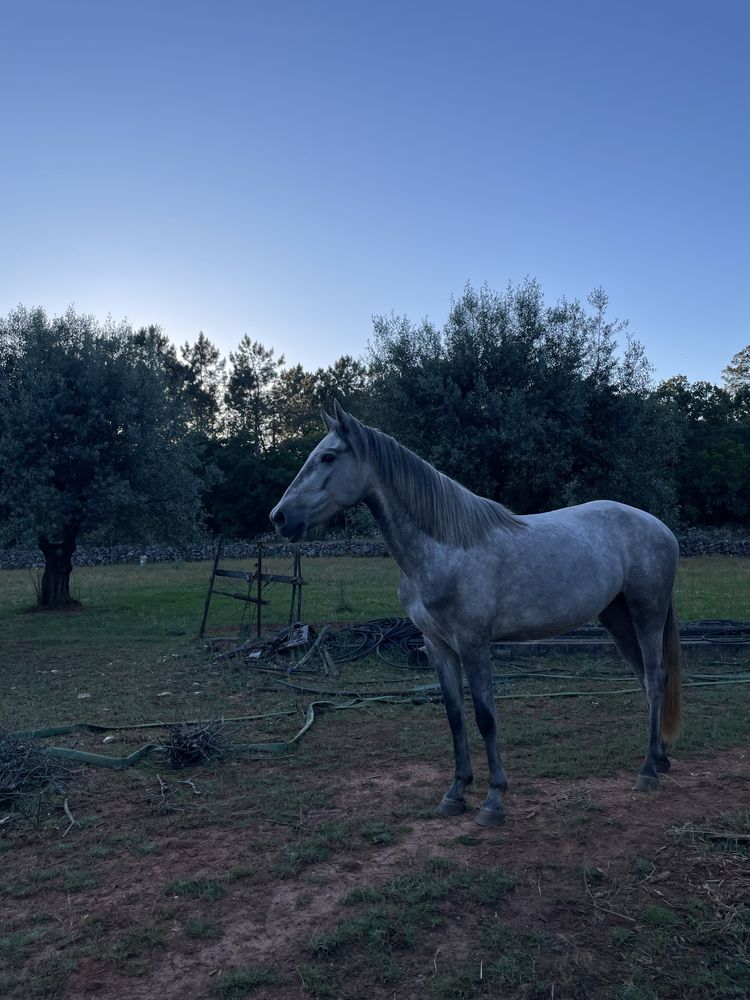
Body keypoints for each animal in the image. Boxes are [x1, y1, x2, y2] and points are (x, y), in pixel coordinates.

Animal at [270, 402, 680, 824]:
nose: (279, 518)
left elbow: (485, 716)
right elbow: (455, 716)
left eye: (328, 457)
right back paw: (660, 758)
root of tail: (660, 527)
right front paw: (455, 792)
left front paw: (493, 800)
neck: (444, 546)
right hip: (617, 617)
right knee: (645, 679)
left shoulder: (473, 644)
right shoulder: (437, 645)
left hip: (646, 611)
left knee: (655, 676)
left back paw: (648, 772)